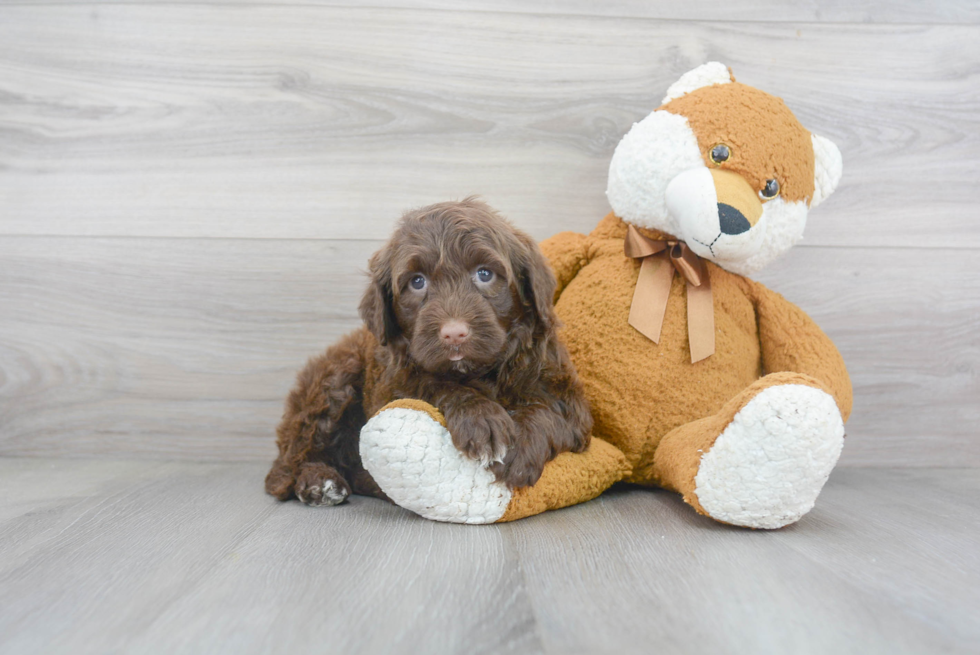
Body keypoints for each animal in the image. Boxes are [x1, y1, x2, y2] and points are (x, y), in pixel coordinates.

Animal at [262, 200, 588, 508]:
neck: (479, 371)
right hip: (335, 379)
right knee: (287, 464)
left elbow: (550, 413)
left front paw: (520, 445)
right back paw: (319, 481)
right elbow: (434, 386)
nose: (454, 333)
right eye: (417, 282)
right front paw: (480, 417)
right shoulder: (392, 386)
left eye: (484, 274)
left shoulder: (568, 398)